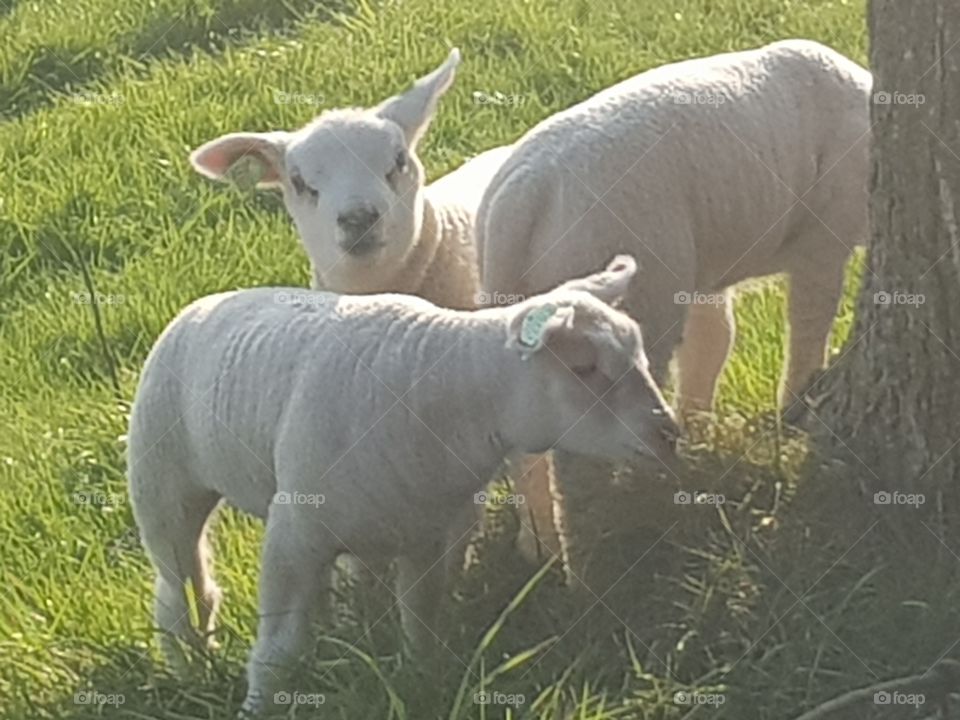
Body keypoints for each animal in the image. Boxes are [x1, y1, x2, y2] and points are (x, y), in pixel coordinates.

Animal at [126, 255, 680, 716]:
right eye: (584, 368)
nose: (669, 433)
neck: (455, 401)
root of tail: (203, 304)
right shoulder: (292, 535)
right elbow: (278, 649)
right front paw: (258, 705)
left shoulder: (426, 540)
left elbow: (420, 623)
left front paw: (421, 681)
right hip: (164, 487)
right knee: (181, 592)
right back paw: (190, 665)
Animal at [475, 40, 871, 563]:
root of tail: (522, 199)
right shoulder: (823, 241)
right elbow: (809, 326)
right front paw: (793, 414)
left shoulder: (703, 273)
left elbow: (712, 341)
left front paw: (699, 437)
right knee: (578, 458)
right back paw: (606, 541)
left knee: (526, 441)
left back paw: (540, 544)